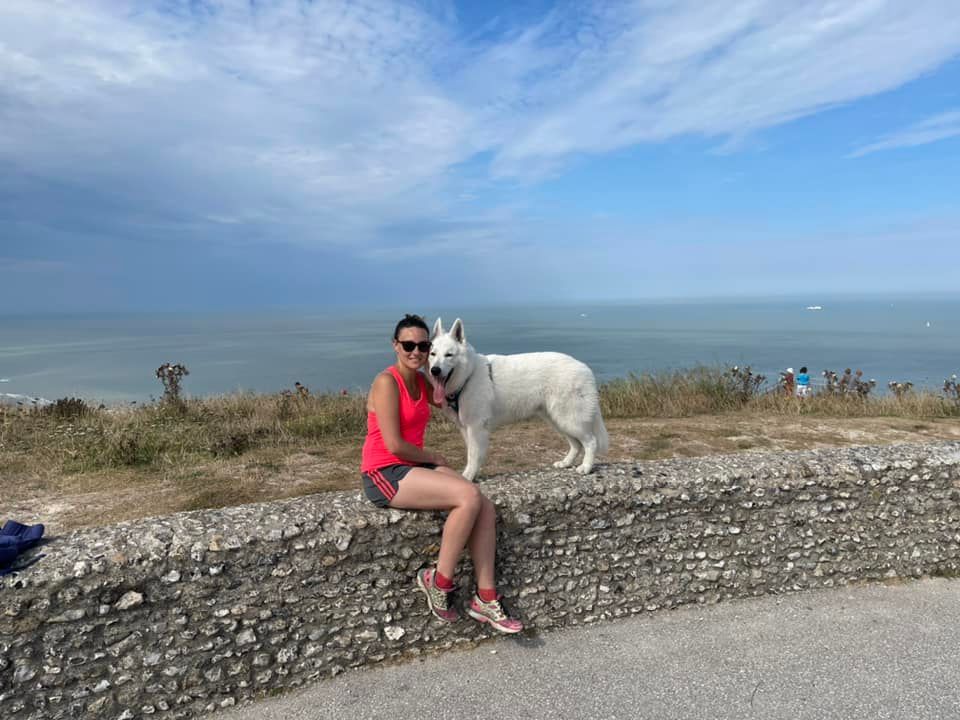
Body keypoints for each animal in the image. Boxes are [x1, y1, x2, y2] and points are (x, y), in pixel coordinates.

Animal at [428, 318, 608, 480]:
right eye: (433, 354)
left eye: (449, 355)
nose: (434, 370)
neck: (468, 376)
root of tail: (584, 368)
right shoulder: (467, 429)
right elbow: (472, 454)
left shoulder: (476, 428)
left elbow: (473, 456)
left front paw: (468, 476)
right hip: (558, 421)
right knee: (576, 444)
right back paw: (566, 463)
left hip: (569, 419)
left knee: (591, 442)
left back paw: (586, 467)